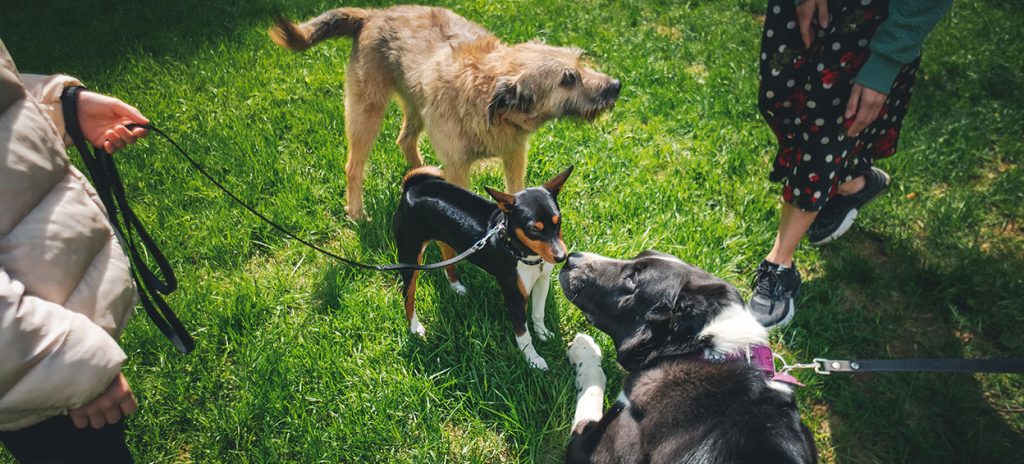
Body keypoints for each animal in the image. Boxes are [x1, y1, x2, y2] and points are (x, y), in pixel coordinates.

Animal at [270, 5, 619, 220]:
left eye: (580, 61)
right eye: (568, 79)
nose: (616, 85)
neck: (489, 96)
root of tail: (372, 15)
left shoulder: (514, 154)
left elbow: (515, 189)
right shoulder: (458, 167)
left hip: (417, 106)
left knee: (404, 139)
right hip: (365, 112)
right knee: (353, 166)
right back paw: (356, 212)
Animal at [392, 165, 574, 369]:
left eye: (558, 221)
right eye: (534, 229)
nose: (561, 257)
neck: (523, 253)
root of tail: (411, 188)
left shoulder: (542, 281)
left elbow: (538, 313)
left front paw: (543, 334)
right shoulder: (515, 297)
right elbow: (523, 334)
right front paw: (532, 359)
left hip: (448, 241)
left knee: (447, 262)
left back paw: (456, 286)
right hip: (410, 257)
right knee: (408, 296)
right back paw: (415, 327)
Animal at [559, 251, 818, 463]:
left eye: (634, 280)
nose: (571, 257)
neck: (700, 350)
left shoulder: (590, 449)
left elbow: (592, 389)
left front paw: (584, 348)